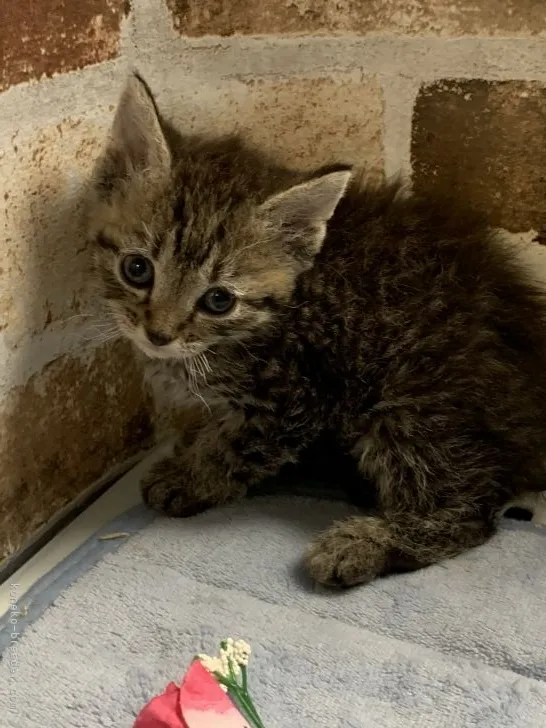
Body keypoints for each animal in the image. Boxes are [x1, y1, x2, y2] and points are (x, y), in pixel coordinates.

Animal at [87, 74, 544, 584]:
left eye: (219, 300)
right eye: (137, 269)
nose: (158, 336)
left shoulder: (296, 397)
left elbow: (233, 448)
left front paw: (189, 478)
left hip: (412, 405)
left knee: (470, 513)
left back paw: (363, 544)